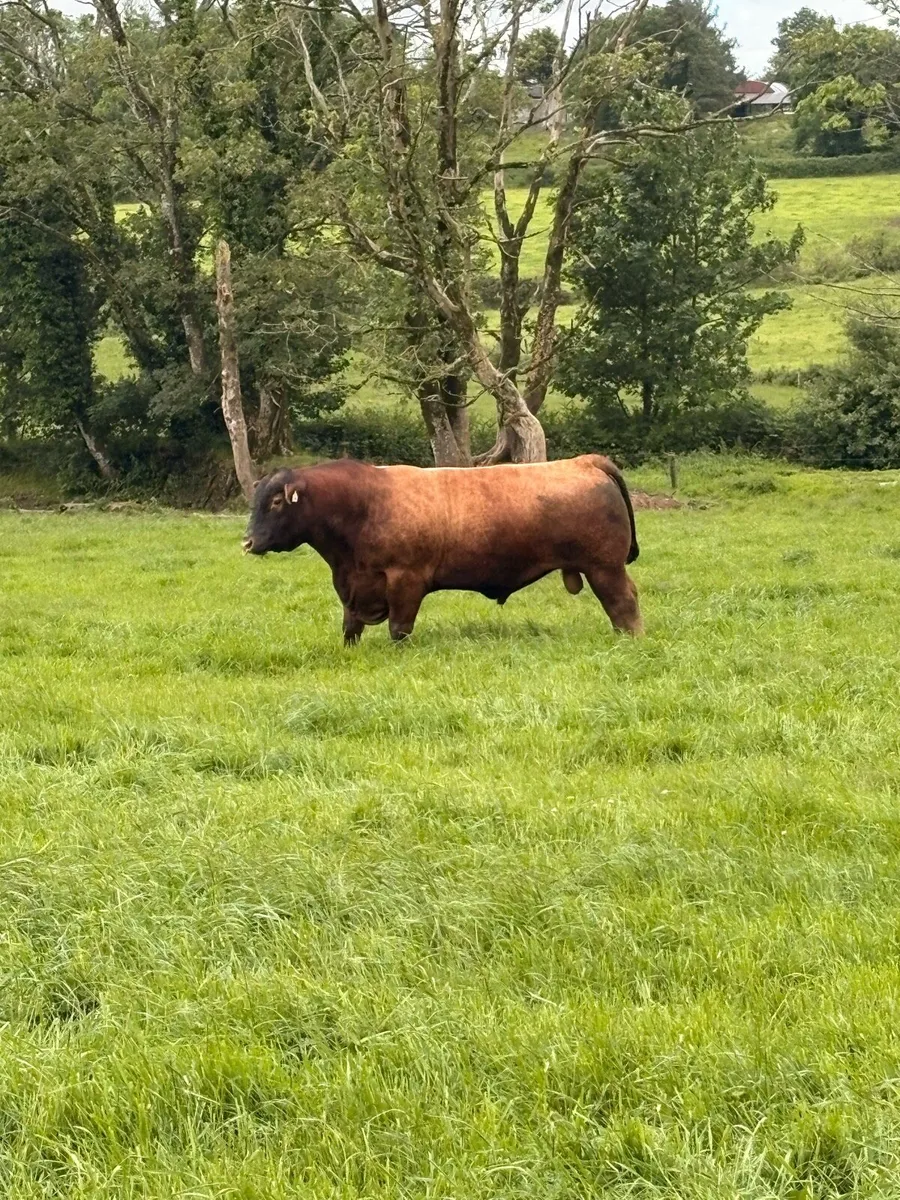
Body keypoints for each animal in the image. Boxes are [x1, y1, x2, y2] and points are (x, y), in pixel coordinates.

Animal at [242, 455, 642, 644]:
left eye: (276, 502)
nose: (247, 542)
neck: (365, 505)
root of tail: (584, 461)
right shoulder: (353, 587)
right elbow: (349, 628)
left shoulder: (405, 580)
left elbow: (399, 628)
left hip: (605, 568)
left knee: (623, 604)